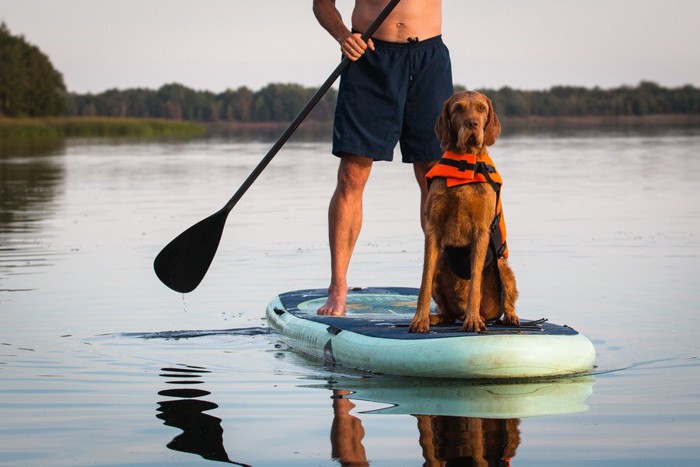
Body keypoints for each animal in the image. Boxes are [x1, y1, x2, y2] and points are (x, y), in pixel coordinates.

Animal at [408, 91, 516, 332]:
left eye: (481, 108)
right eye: (458, 108)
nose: (472, 123)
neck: (464, 164)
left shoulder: (481, 231)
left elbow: (475, 280)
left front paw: (472, 320)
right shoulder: (433, 228)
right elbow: (424, 280)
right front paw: (420, 319)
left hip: (503, 267)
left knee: (506, 300)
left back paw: (505, 316)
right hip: (442, 264)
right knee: (447, 312)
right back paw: (437, 317)